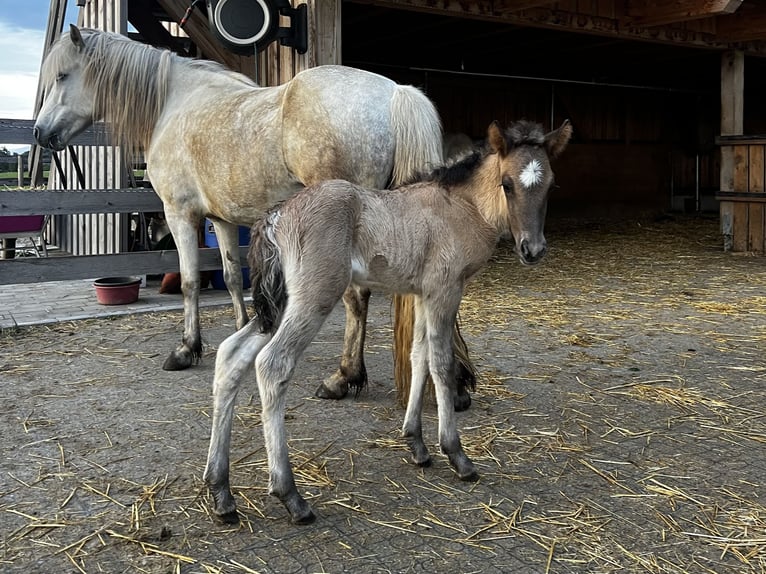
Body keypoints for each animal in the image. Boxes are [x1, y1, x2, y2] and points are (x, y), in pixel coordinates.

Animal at [206, 119, 576, 524]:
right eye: (506, 183)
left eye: (551, 184)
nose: (532, 250)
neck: (461, 207)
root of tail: (276, 216)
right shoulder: (445, 290)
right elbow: (442, 364)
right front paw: (456, 454)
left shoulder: (423, 295)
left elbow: (419, 358)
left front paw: (416, 443)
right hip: (312, 298)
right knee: (272, 364)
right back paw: (290, 495)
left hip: (277, 305)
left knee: (231, 355)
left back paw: (221, 491)